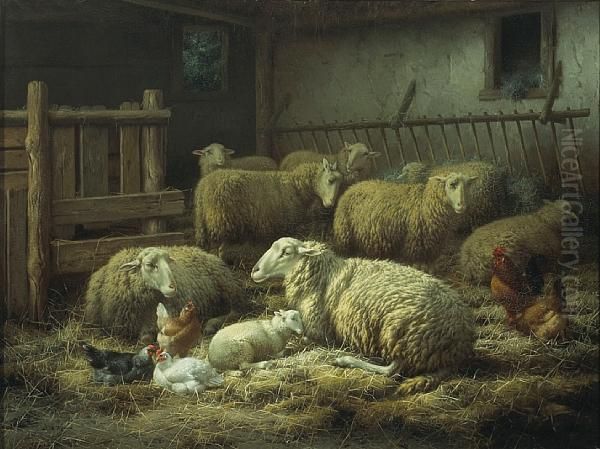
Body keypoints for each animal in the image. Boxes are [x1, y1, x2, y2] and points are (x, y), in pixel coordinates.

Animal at [83, 243, 245, 342]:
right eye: (149, 264)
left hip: (228, 290)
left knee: (236, 311)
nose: (173, 287)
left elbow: (147, 337)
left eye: (169, 262)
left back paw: (210, 325)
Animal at [196, 158, 342, 248]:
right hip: (221, 221)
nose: (330, 204)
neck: (296, 186)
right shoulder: (287, 223)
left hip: (204, 224)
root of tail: (203, 186)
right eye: (330, 180)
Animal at [251, 236, 476, 394]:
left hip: (399, 333)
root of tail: (459, 346)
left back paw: (344, 360)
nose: (254, 270)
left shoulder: (320, 332)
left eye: (286, 252)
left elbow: (306, 339)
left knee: (392, 370)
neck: (324, 273)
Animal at [332, 172, 478, 262]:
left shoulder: (430, 251)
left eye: (468, 185)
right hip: (345, 238)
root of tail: (353, 187)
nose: (462, 205)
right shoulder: (414, 249)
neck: (424, 204)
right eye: (452, 184)